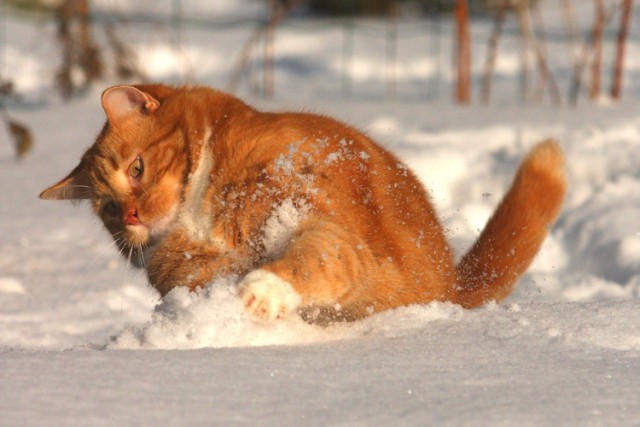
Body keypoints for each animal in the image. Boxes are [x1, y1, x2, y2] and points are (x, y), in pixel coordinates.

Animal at [41, 84, 564, 324]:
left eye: (137, 169)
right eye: (108, 210)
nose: (130, 216)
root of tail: (454, 285)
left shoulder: (328, 228)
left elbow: (312, 261)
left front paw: (261, 291)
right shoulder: (184, 271)